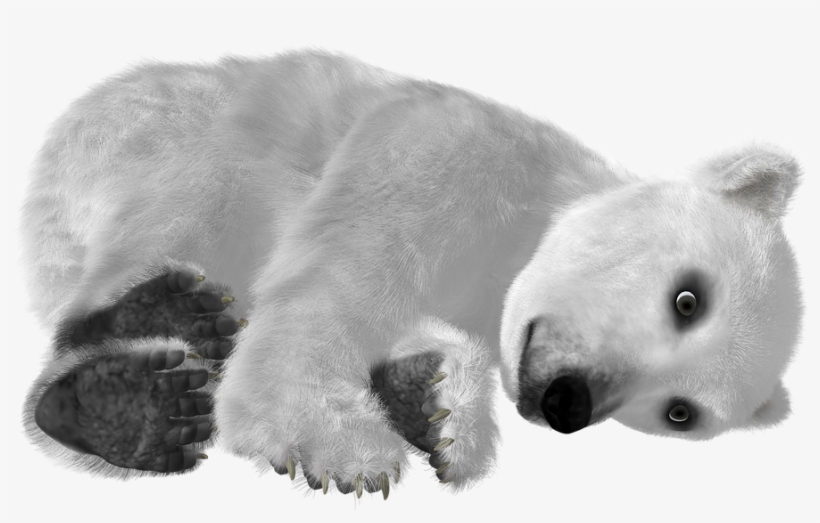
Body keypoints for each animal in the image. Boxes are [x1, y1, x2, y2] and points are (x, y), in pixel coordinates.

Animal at [20, 49, 803, 498]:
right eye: (687, 298)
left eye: (681, 411)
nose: (567, 402)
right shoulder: (458, 143)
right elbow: (351, 266)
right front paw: (340, 441)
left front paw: (433, 402)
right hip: (144, 134)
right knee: (196, 200)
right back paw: (141, 378)